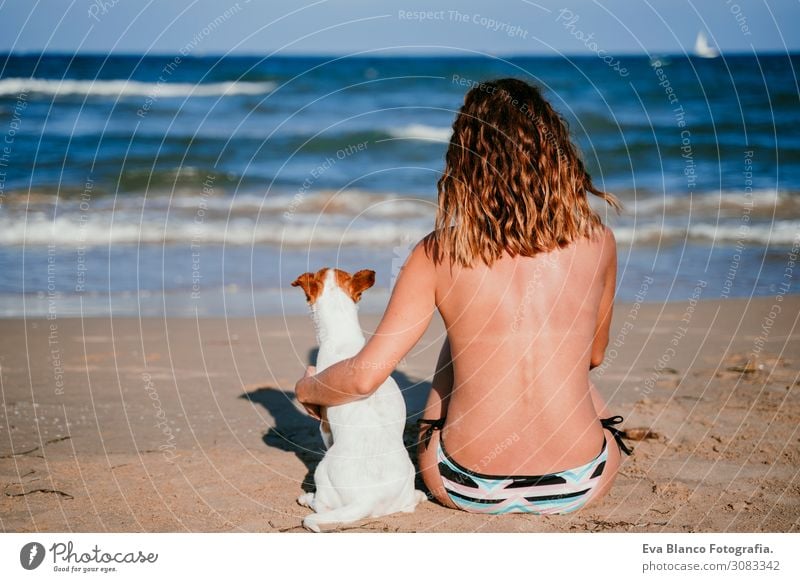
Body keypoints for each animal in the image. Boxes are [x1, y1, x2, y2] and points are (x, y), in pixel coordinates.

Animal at [292, 270, 428, 532]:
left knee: (322, 506)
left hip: (322, 471)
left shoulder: (324, 426)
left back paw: (307, 498)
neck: (342, 339)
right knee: (409, 504)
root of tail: (367, 498)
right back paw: (419, 496)